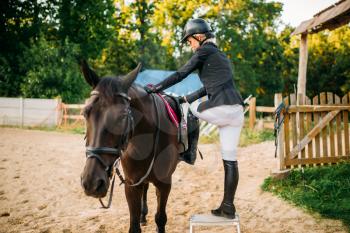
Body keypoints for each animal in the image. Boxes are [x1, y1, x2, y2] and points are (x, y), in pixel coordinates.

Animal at [80, 61, 179, 232]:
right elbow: (134, 225)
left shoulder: (165, 183)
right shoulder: (131, 184)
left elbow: (160, 218)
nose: (91, 183)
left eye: (122, 117)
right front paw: (140, 217)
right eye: (85, 113)